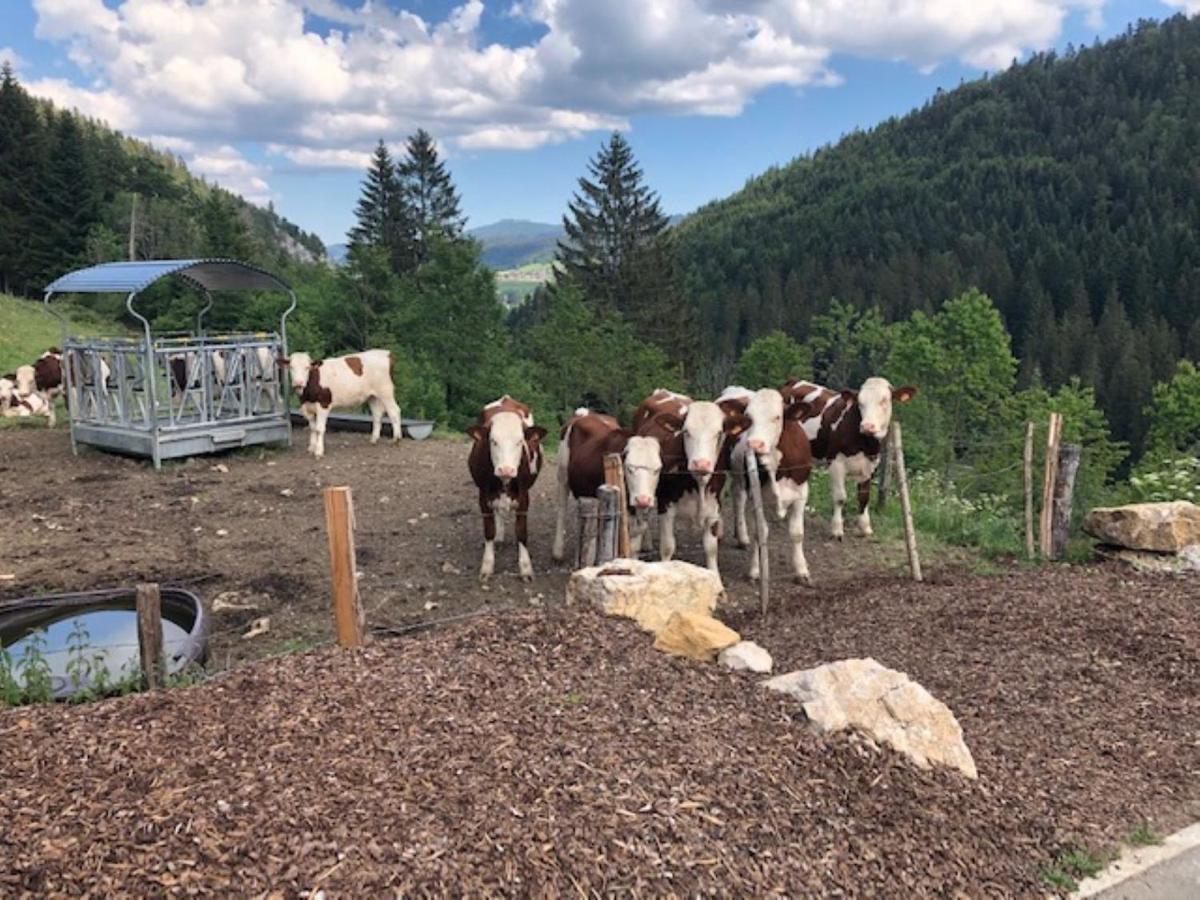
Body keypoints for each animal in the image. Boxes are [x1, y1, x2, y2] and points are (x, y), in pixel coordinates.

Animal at [465, 396, 547, 580]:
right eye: (493, 441)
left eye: (520, 442)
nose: (506, 469)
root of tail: (506, 399)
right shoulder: (483, 496)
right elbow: (489, 531)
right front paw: (487, 566)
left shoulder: (524, 497)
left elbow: (522, 532)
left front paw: (526, 568)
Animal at [552, 410, 667, 564]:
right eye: (629, 468)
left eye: (657, 469)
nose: (642, 499)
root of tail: (585, 412)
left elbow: (635, 540)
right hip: (562, 473)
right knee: (562, 508)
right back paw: (558, 552)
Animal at [633, 388, 744, 578]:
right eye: (686, 432)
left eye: (719, 433)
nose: (701, 464)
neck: (698, 484)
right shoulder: (665, 505)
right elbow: (668, 546)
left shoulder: (714, 507)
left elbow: (711, 548)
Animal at [720, 388, 816, 585]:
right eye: (748, 417)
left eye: (777, 417)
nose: (755, 444)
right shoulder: (755, 494)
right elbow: (760, 533)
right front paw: (755, 571)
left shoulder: (801, 493)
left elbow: (797, 533)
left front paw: (801, 571)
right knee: (738, 498)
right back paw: (740, 535)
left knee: (737, 495)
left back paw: (741, 536)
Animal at [782, 376, 912, 540]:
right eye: (860, 403)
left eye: (884, 401)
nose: (867, 426)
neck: (865, 444)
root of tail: (793, 381)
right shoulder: (835, 462)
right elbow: (840, 497)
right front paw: (837, 529)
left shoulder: (870, 465)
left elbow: (864, 497)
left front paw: (865, 528)